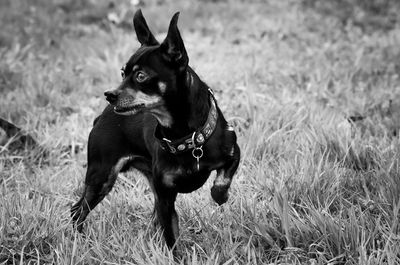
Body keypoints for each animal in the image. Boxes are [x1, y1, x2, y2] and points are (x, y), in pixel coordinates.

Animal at [71, 9, 241, 250]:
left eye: (140, 76)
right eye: (122, 73)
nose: (109, 94)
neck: (185, 137)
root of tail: (100, 118)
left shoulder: (233, 154)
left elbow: (222, 181)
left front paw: (220, 197)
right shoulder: (166, 199)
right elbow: (171, 238)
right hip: (101, 176)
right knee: (78, 210)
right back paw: (79, 240)